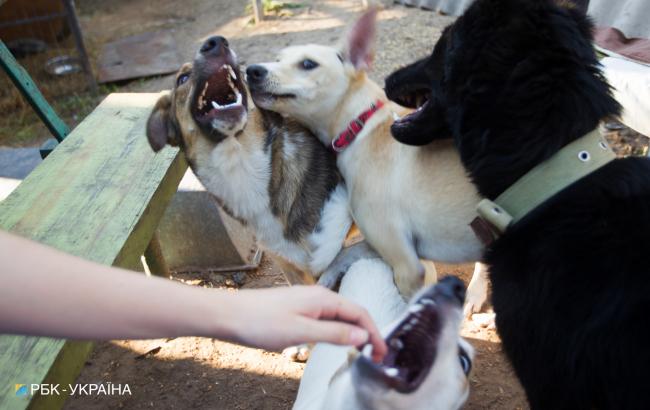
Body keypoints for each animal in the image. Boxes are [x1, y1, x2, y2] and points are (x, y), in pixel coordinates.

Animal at [243, 10, 486, 304]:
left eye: (308, 64)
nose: (252, 70)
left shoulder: (407, 266)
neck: (361, 130)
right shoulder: (382, 245)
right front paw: (327, 279)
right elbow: (347, 252)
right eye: (278, 59)